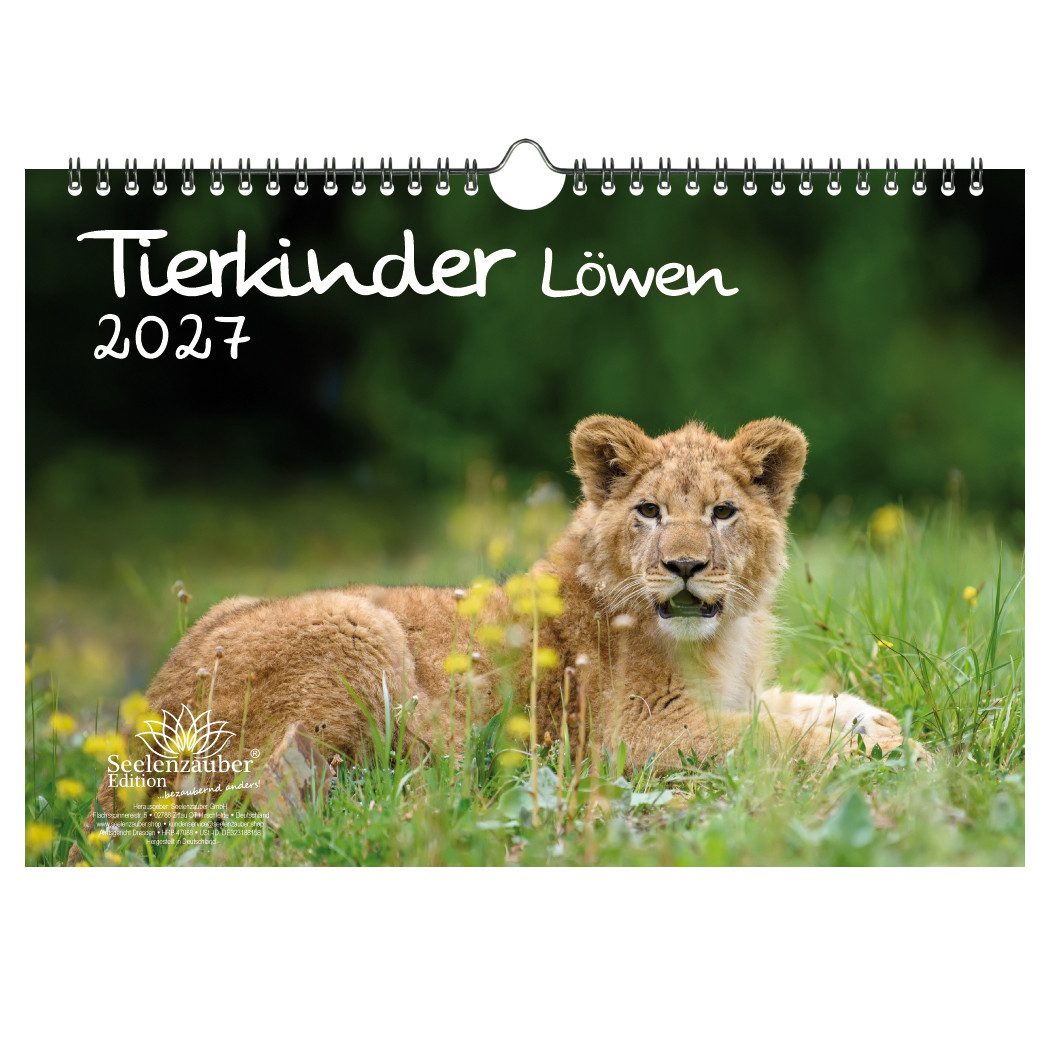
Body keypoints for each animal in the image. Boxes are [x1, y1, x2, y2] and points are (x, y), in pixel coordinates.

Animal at [79, 415, 918, 854]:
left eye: (723, 512)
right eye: (648, 511)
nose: (684, 567)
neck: (716, 640)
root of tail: (113, 786)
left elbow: (789, 706)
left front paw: (875, 721)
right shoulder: (627, 739)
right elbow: (767, 737)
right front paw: (894, 751)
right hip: (358, 623)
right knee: (275, 813)